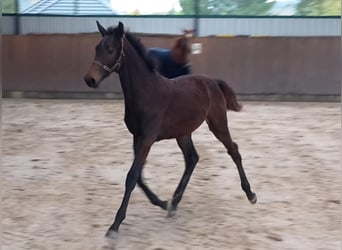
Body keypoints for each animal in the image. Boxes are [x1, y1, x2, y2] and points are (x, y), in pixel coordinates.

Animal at [83, 21, 256, 238]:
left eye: (110, 49)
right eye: (97, 48)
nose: (89, 79)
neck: (146, 92)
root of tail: (213, 81)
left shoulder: (147, 138)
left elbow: (132, 176)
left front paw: (114, 226)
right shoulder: (137, 137)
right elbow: (139, 177)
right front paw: (163, 203)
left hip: (217, 123)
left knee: (233, 150)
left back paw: (250, 194)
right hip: (183, 133)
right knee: (192, 158)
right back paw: (174, 203)